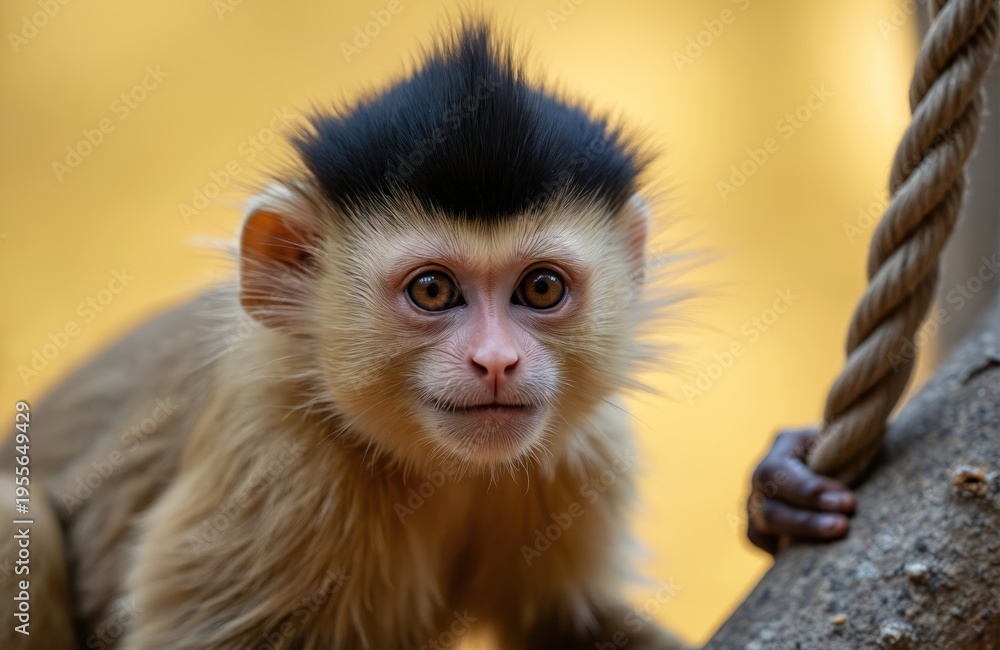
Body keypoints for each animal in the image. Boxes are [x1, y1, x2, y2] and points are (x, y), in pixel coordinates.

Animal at [1, 19, 856, 650]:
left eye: (540, 289)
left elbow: (570, 624)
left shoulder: (577, 454)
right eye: (433, 291)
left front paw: (777, 495)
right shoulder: (278, 463)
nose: (496, 361)